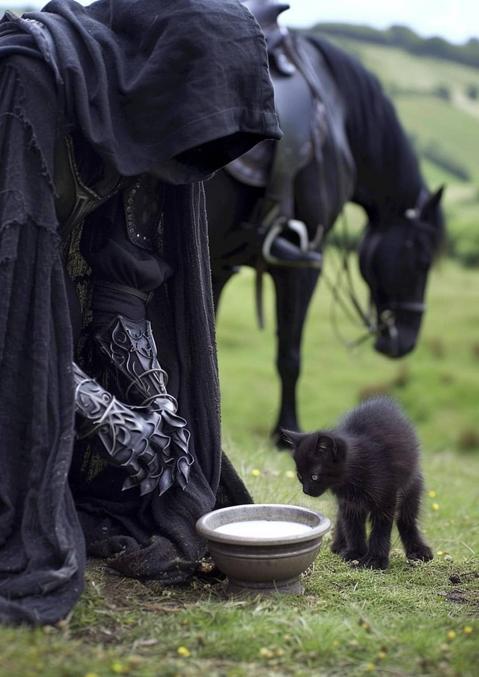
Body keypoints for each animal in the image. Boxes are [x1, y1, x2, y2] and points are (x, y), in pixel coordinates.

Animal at [206, 27, 446, 444]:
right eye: (422, 260)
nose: (406, 341)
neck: (337, 114)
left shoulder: (221, 263)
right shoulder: (303, 265)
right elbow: (289, 355)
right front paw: (286, 432)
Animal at [284, 398, 434, 568]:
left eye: (314, 476)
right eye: (300, 476)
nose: (306, 490)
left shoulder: (386, 498)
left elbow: (381, 528)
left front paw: (375, 560)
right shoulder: (349, 502)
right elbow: (353, 526)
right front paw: (355, 553)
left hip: (411, 487)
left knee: (407, 520)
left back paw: (418, 550)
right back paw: (340, 545)